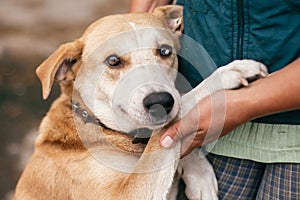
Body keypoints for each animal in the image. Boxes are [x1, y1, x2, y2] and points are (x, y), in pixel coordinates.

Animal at [13, 5, 268, 199]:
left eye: (165, 51)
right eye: (113, 61)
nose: (160, 101)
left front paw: (198, 175)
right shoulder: (124, 194)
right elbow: (178, 110)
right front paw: (228, 73)